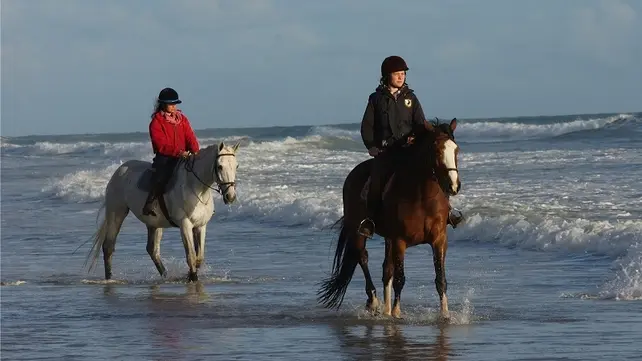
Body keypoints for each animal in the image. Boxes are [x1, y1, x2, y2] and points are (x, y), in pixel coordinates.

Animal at [85, 141, 240, 282]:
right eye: (220, 166)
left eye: (236, 166)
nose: (230, 196)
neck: (197, 189)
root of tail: (120, 170)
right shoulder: (185, 225)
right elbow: (191, 255)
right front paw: (193, 278)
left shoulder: (201, 226)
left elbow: (199, 257)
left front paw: (189, 275)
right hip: (116, 213)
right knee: (108, 246)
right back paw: (109, 279)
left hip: (154, 223)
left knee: (152, 250)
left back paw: (166, 275)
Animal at [316, 117, 458, 318]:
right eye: (437, 151)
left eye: (456, 150)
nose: (454, 186)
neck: (422, 197)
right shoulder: (400, 241)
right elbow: (400, 278)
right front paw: (397, 313)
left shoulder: (439, 240)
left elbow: (440, 279)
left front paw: (445, 314)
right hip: (359, 230)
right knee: (362, 257)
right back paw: (374, 302)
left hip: (388, 239)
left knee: (386, 269)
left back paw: (386, 309)